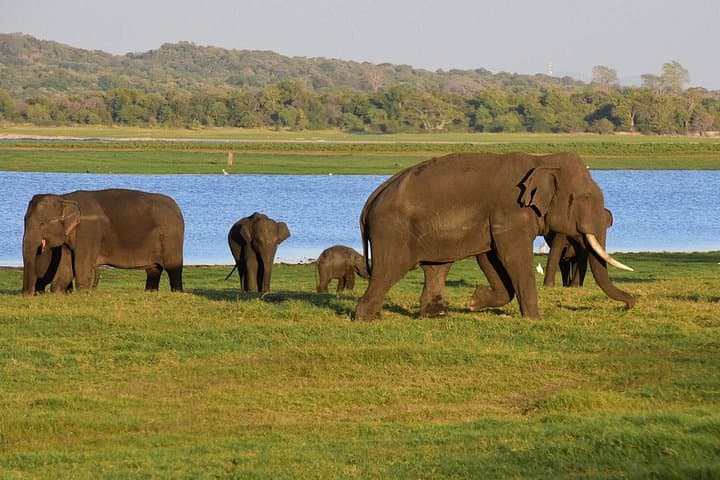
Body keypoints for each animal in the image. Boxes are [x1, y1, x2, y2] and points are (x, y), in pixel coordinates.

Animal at [22, 189, 184, 295]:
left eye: (42, 224)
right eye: (24, 220)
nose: (26, 294)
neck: (64, 197)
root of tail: (177, 207)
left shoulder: (89, 231)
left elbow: (81, 265)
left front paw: (82, 293)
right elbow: (66, 266)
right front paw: (58, 293)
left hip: (171, 237)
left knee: (173, 268)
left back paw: (177, 292)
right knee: (153, 270)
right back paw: (150, 292)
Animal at [354, 152, 634, 320]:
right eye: (583, 198)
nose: (630, 303)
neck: (540, 159)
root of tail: (370, 200)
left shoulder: (493, 220)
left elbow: (490, 258)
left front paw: (474, 301)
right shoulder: (510, 212)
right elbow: (513, 256)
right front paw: (534, 318)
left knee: (437, 268)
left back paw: (437, 315)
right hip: (392, 231)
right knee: (389, 271)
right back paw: (366, 317)